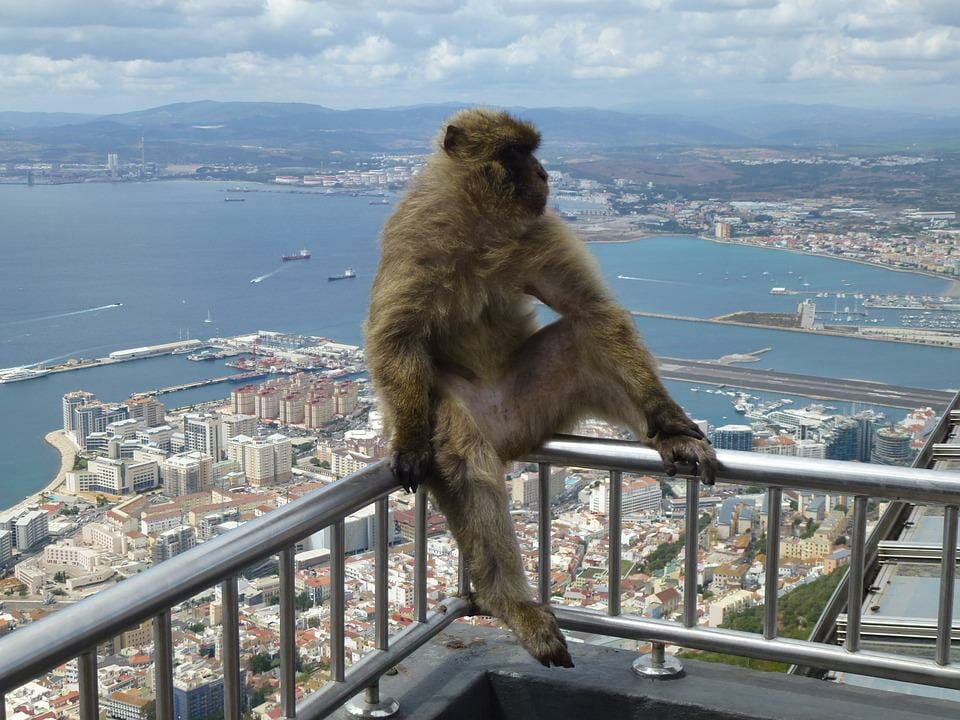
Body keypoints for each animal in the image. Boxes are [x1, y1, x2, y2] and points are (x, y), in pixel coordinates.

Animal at [364, 108, 716, 668]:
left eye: (534, 151)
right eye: (516, 152)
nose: (545, 174)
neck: (479, 224)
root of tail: (512, 437)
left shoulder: (539, 229)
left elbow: (592, 311)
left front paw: (667, 418)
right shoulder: (415, 235)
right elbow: (396, 338)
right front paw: (411, 440)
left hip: (539, 399)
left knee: (584, 337)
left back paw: (666, 434)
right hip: (459, 405)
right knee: (464, 457)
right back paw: (508, 601)